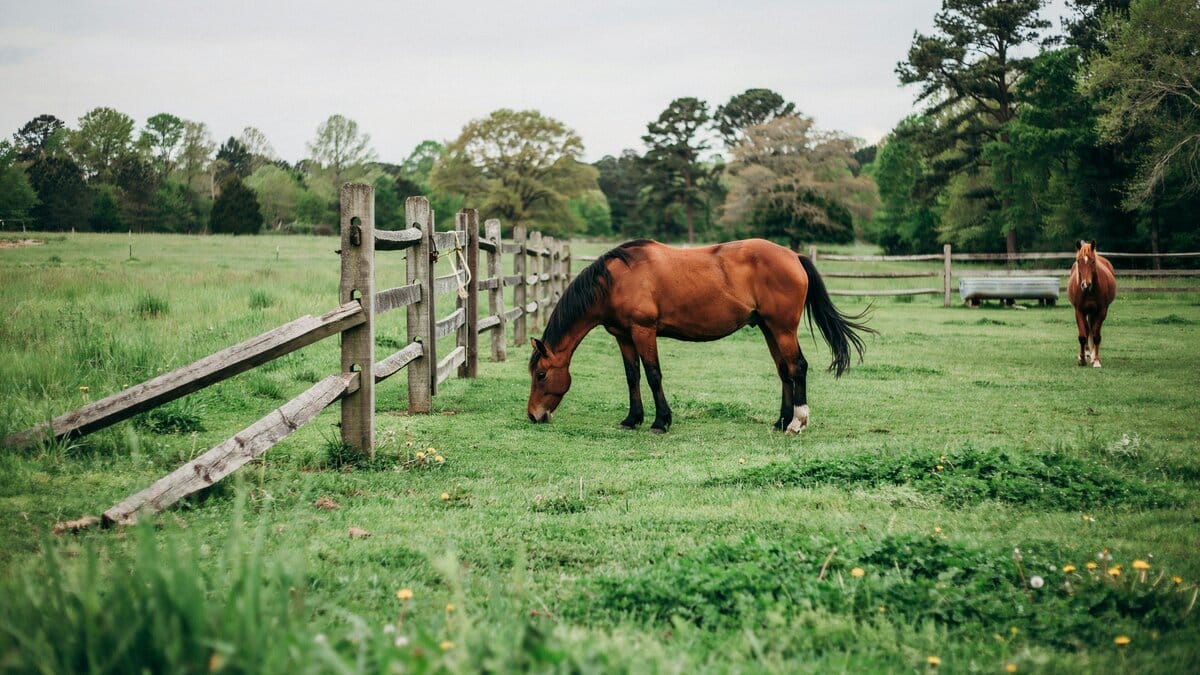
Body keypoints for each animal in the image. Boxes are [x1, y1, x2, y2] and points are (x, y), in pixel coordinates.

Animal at [526, 238, 875, 433]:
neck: (616, 280)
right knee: (784, 371)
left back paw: (796, 422)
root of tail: (794, 256)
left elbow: (653, 375)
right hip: (768, 328)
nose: (533, 415)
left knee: (797, 367)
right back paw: (780, 421)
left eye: (541, 374)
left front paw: (660, 422)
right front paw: (632, 419)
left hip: (782, 328)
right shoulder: (623, 335)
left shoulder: (644, 330)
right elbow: (632, 376)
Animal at [1067, 239, 1116, 368]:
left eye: (1093, 261)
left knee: (1093, 330)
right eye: (1079, 261)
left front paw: (1097, 361)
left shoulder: (1101, 311)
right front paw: (1082, 359)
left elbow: (1096, 336)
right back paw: (1087, 353)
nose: (1086, 284)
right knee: (1087, 329)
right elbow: (1082, 336)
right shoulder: (1079, 311)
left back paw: (1093, 356)